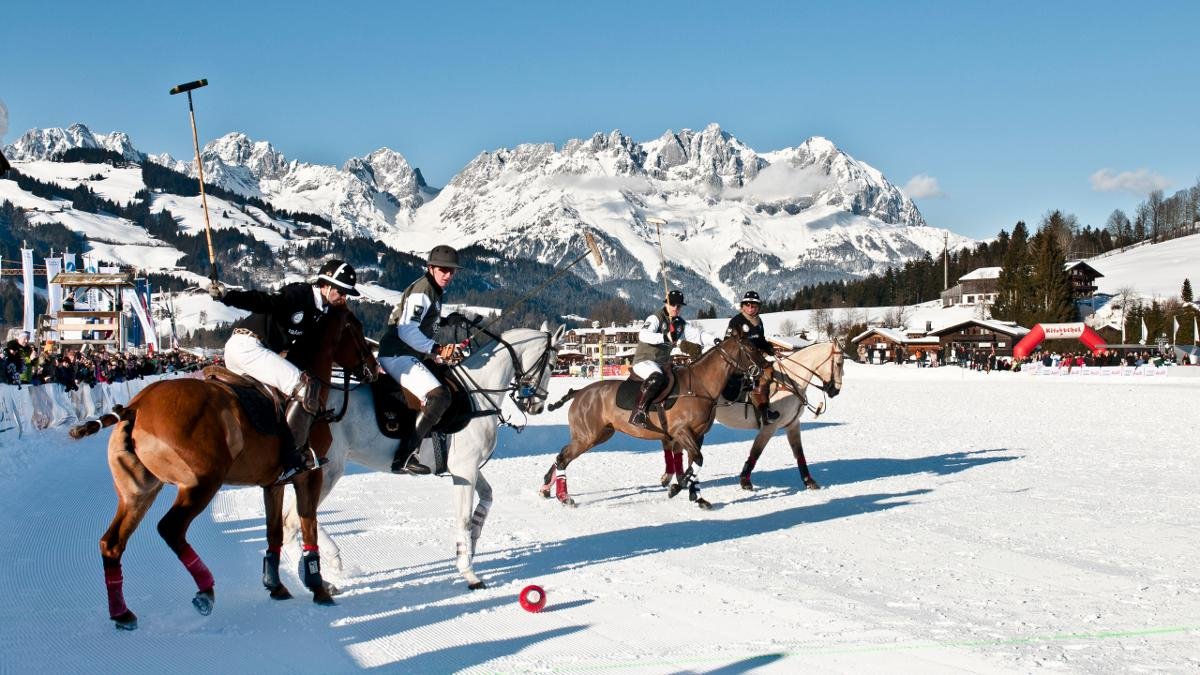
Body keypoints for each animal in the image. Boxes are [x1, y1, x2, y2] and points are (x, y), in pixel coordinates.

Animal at [68, 307, 376, 629]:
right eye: (357, 329)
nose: (375, 368)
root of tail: (135, 407)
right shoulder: (310, 475)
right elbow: (309, 527)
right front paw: (319, 588)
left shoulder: (273, 483)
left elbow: (274, 533)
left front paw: (276, 586)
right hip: (201, 483)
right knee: (170, 528)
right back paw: (205, 590)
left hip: (138, 491)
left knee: (112, 542)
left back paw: (122, 613)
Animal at [291, 324, 571, 586]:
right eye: (553, 363)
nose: (537, 406)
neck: (478, 396)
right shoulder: (465, 469)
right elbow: (463, 518)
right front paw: (469, 572)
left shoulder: (466, 468)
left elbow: (487, 499)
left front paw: (472, 543)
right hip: (328, 470)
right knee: (296, 517)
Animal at [542, 333, 768, 506]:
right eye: (750, 348)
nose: (766, 365)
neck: (701, 387)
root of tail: (579, 392)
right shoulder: (681, 431)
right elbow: (697, 460)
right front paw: (676, 488)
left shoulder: (698, 434)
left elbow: (693, 463)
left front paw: (696, 496)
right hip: (588, 436)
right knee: (563, 458)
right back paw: (564, 497)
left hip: (598, 434)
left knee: (561, 455)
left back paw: (546, 487)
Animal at [662, 341, 849, 487]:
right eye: (839, 363)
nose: (835, 390)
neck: (790, 381)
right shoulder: (769, 427)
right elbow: (756, 452)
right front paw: (745, 480)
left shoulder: (793, 424)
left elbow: (799, 453)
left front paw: (809, 481)